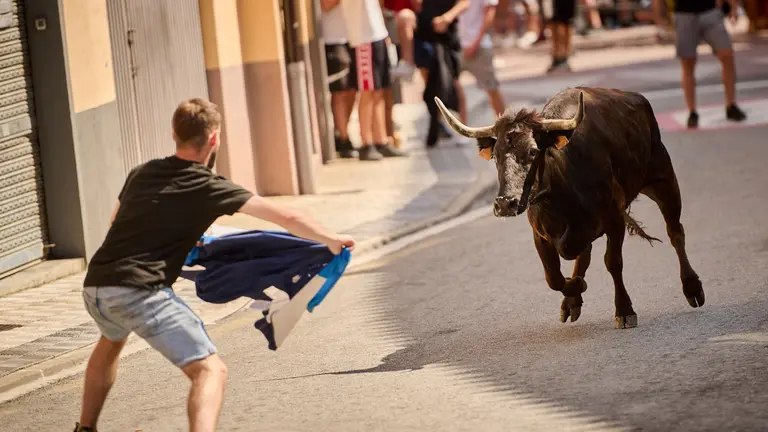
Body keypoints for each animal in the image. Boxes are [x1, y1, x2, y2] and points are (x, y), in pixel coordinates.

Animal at [434, 87, 704, 329]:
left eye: (533, 151)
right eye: (496, 155)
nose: (505, 204)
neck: (560, 193)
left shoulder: (614, 220)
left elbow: (612, 262)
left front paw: (624, 310)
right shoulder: (540, 234)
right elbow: (553, 275)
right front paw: (575, 289)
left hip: (663, 178)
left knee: (675, 232)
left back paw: (692, 287)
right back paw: (572, 301)